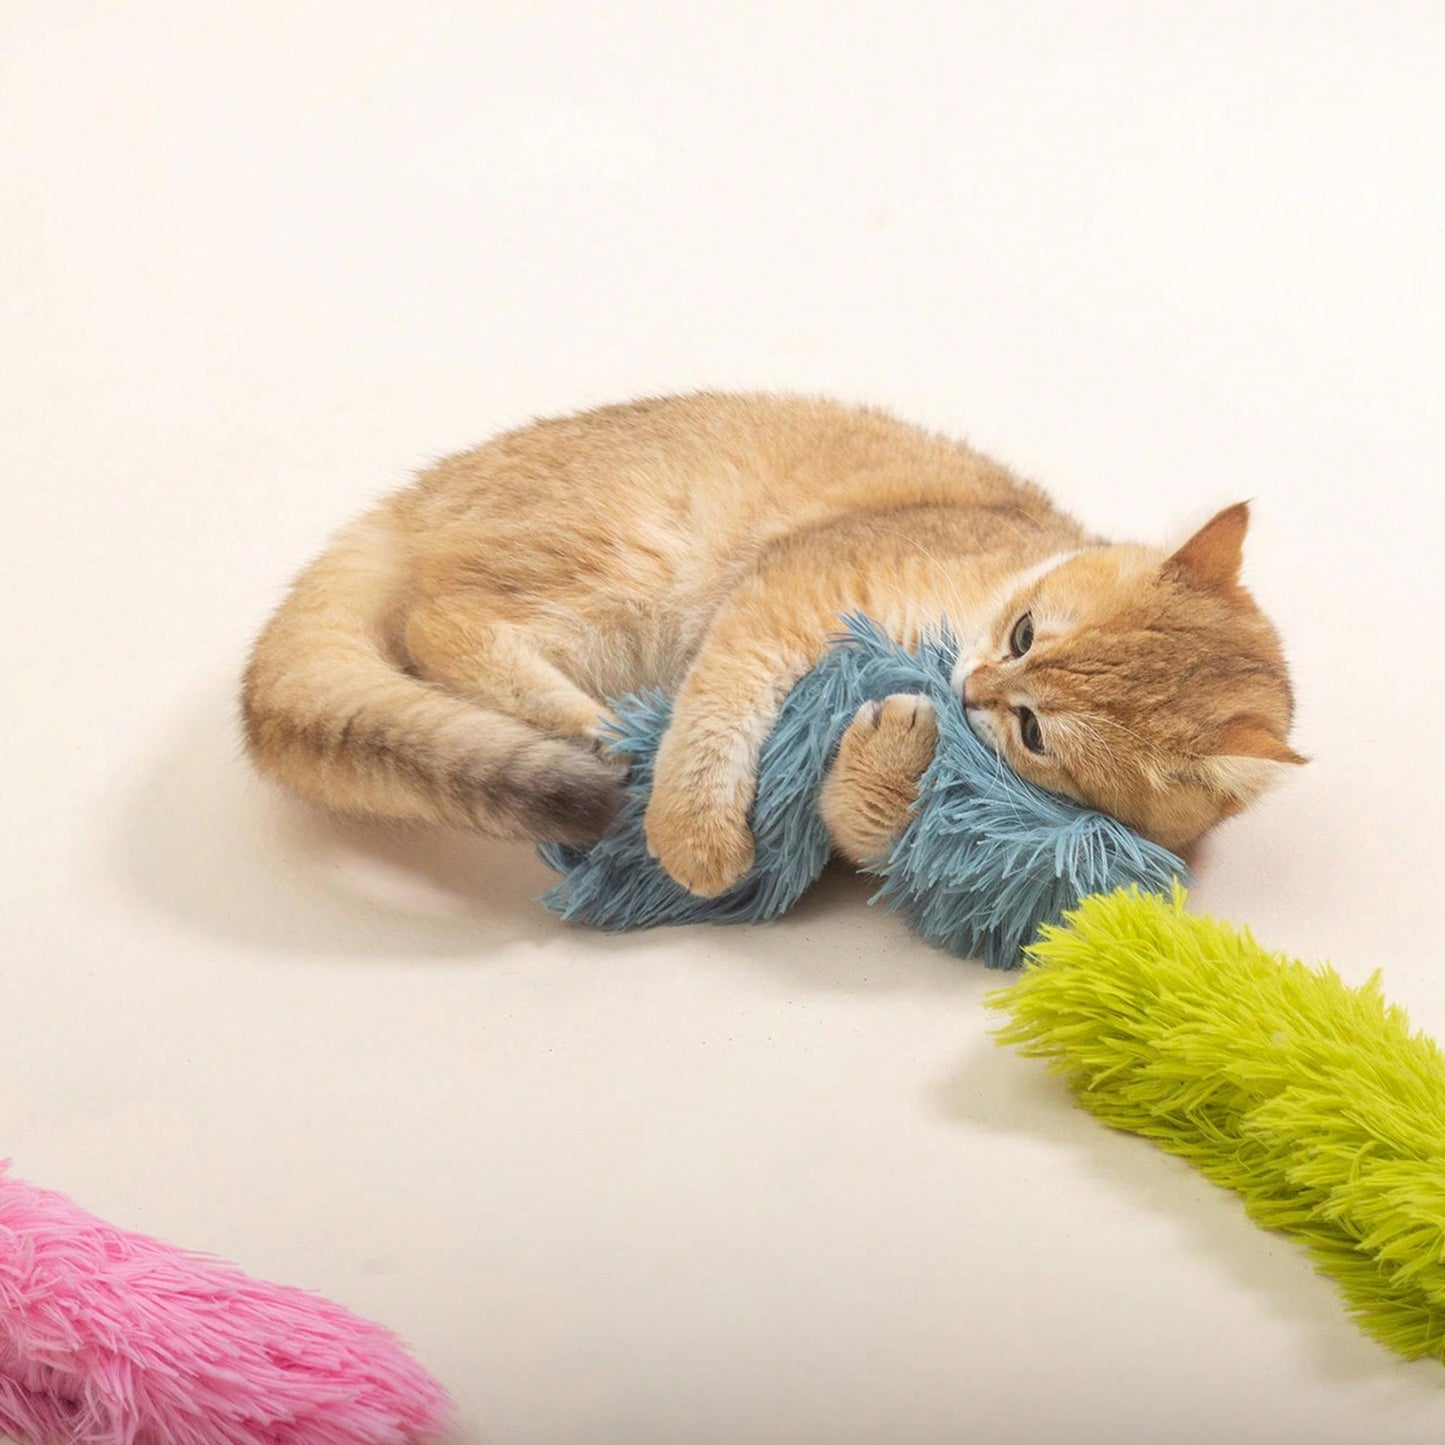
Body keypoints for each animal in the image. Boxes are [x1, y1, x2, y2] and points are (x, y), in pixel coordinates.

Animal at [242, 393, 1306, 890]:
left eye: (1036, 734)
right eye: (1023, 630)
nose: (970, 690)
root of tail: (407, 502)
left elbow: (863, 826)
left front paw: (896, 747)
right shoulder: (787, 592)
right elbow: (718, 712)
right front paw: (696, 838)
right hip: (627, 564)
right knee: (442, 621)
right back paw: (588, 726)